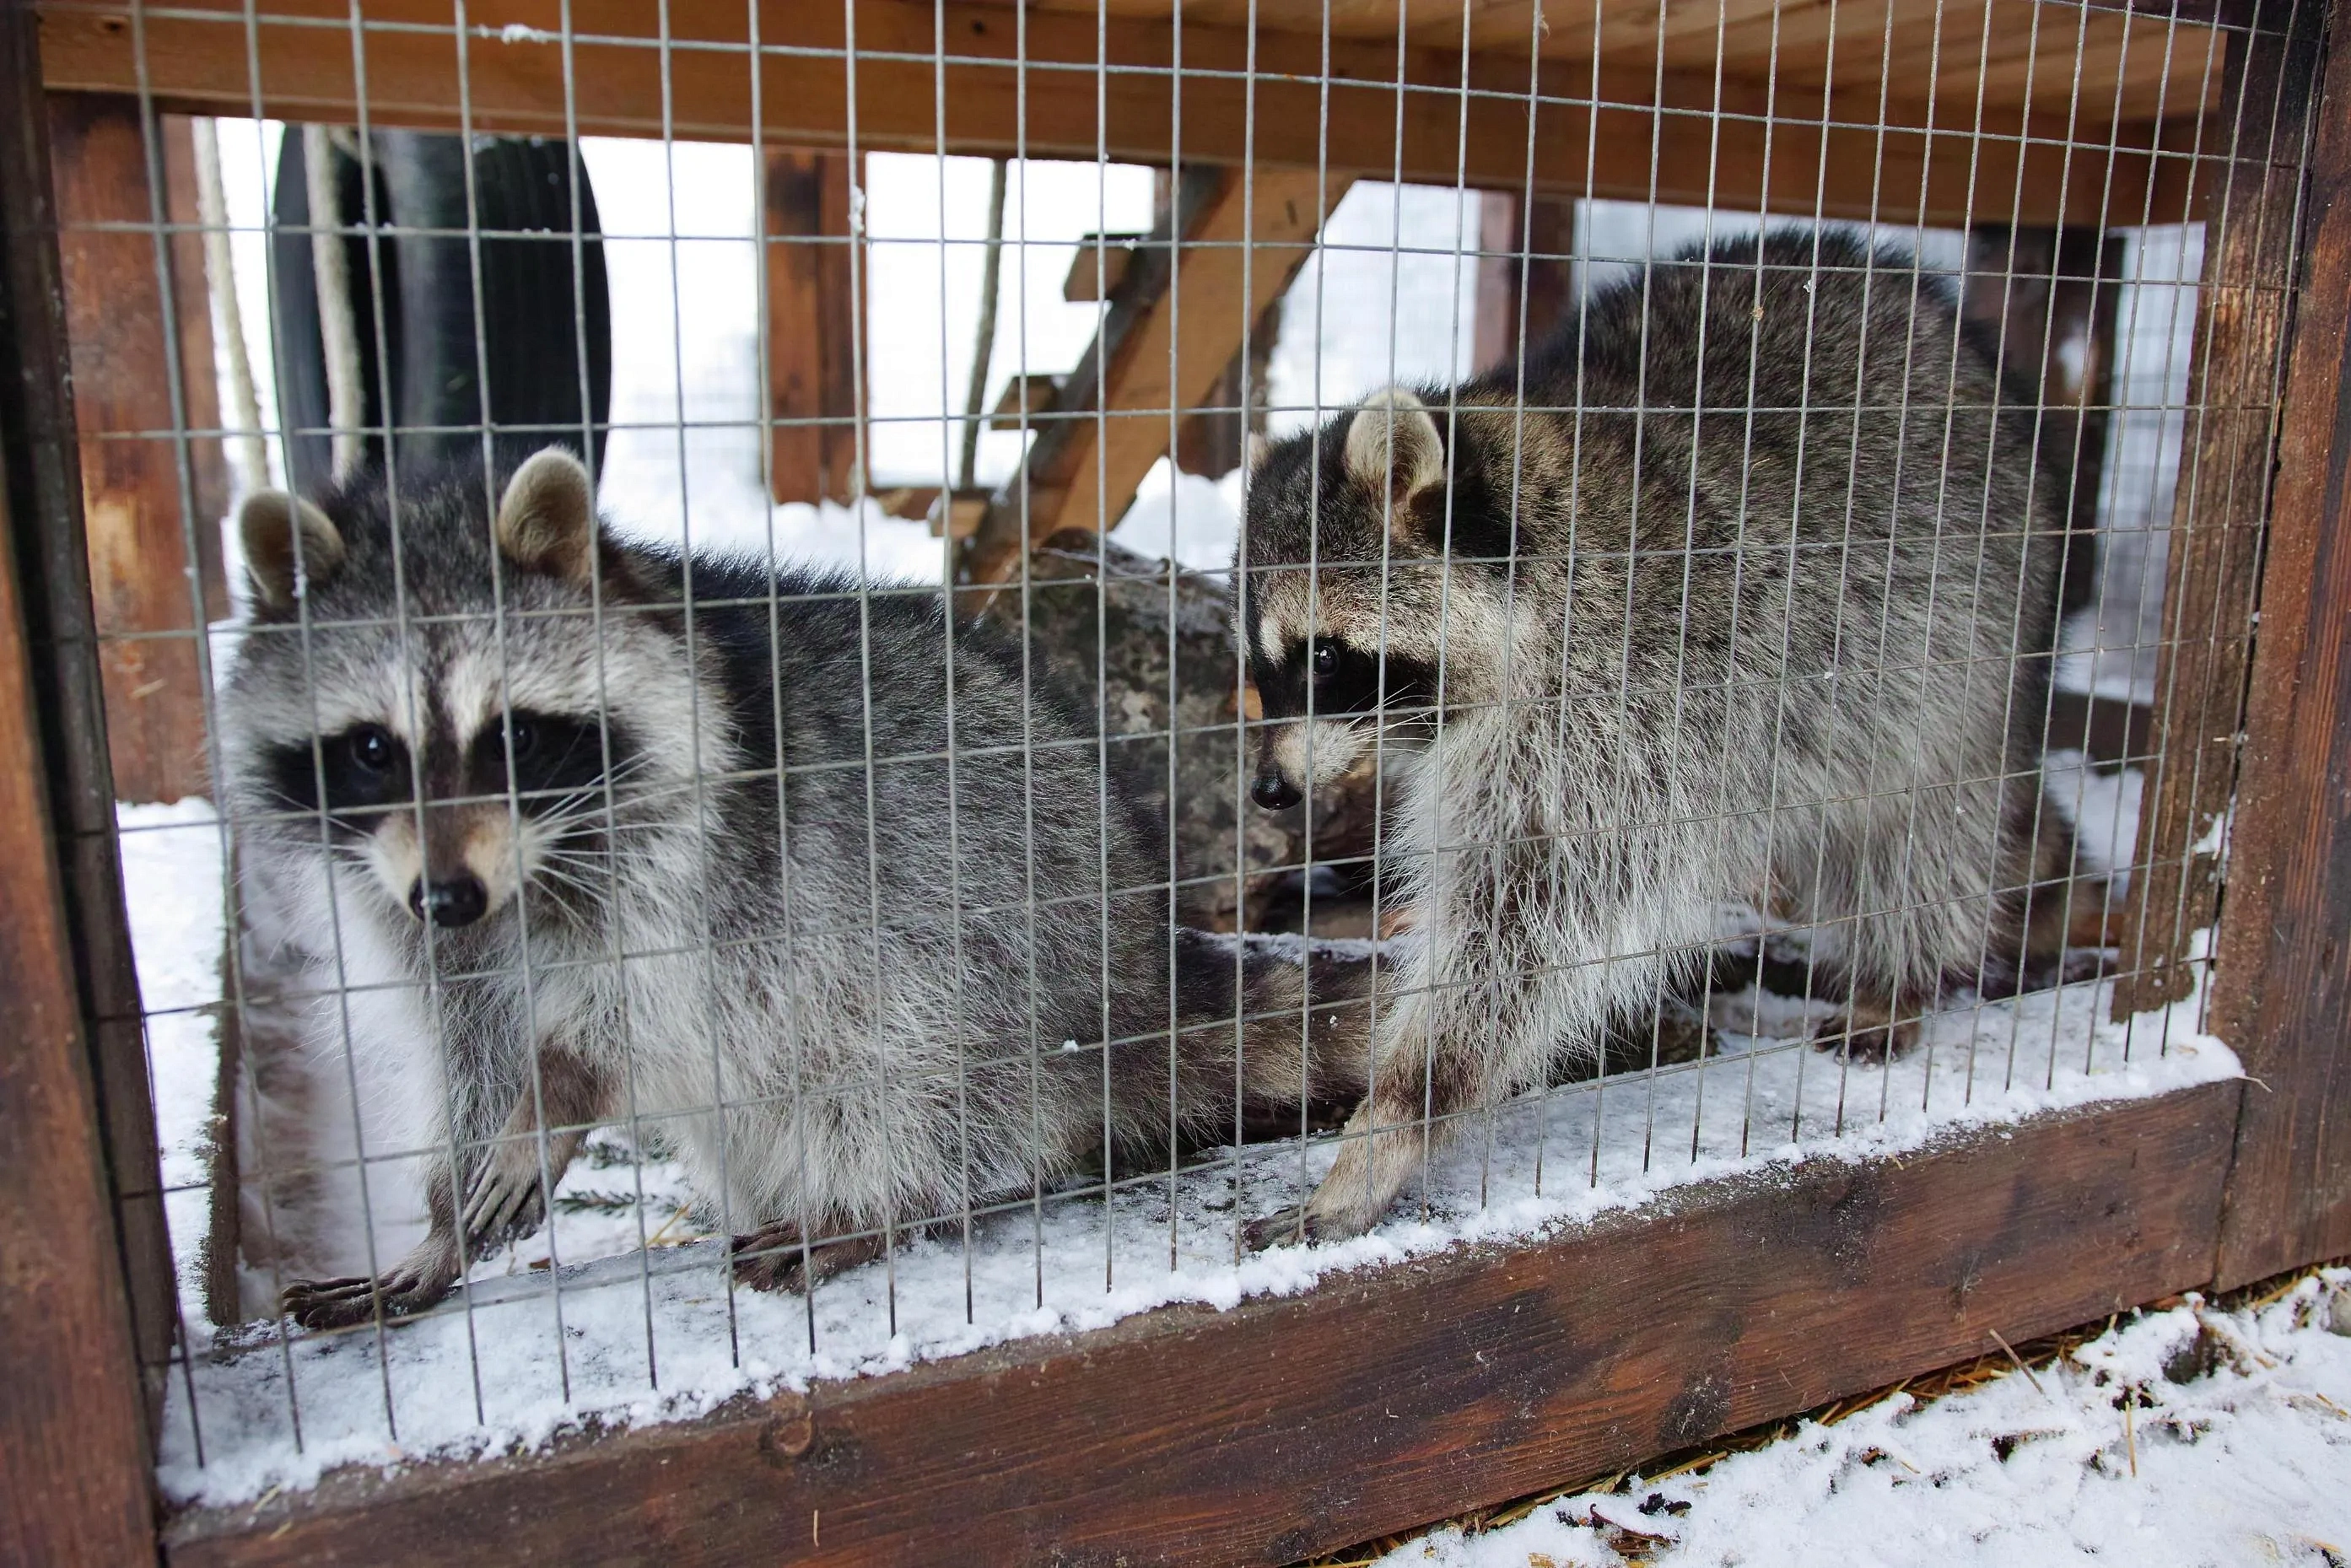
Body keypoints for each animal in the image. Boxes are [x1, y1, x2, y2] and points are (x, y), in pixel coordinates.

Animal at [224, 451, 1363, 1325]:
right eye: (373, 748)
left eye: (512, 736)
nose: (451, 895)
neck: (529, 866)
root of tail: (1132, 976)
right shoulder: (411, 907)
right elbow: (470, 1045)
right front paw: (440, 1223)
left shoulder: (709, 866)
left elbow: (655, 1007)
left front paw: (560, 1089)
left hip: (992, 966)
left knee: (904, 1082)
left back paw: (872, 1204)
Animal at [1241, 226, 2068, 1241]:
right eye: (1264, 667)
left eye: (1323, 659)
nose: (1270, 788)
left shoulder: (1625, 715)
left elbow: (1524, 937)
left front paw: (1393, 1124)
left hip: (1967, 642)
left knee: (1924, 826)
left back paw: (1897, 974)